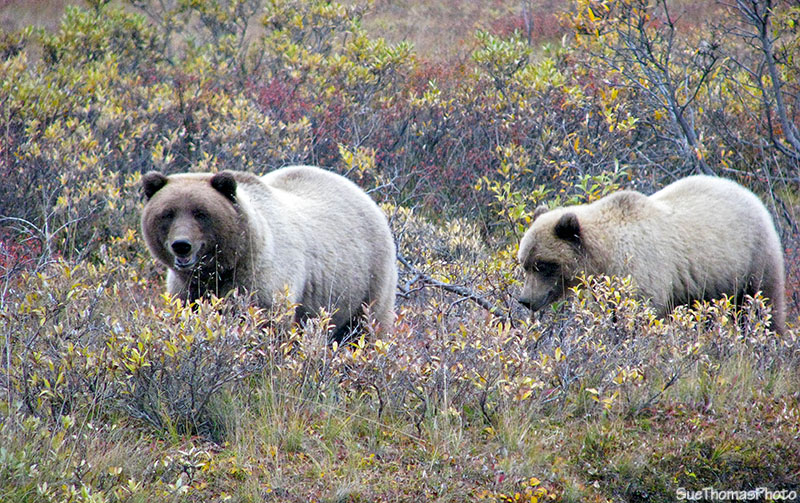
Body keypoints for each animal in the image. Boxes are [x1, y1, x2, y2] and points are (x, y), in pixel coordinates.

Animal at [140, 165, 398, 340]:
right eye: (168, 213)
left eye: (200, 213)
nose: (181, 245)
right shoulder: (186, 291)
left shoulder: (260, 280)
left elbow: (265, 322)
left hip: (369, 279)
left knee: (370, 326)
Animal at [517, 175, 786, 333]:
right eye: (524, 264)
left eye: (544, 264)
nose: (525, 300)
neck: (605, 257)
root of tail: (750, 194)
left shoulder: (640, 271)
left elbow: (641, 314)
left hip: (753, 259)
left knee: (763, 304)